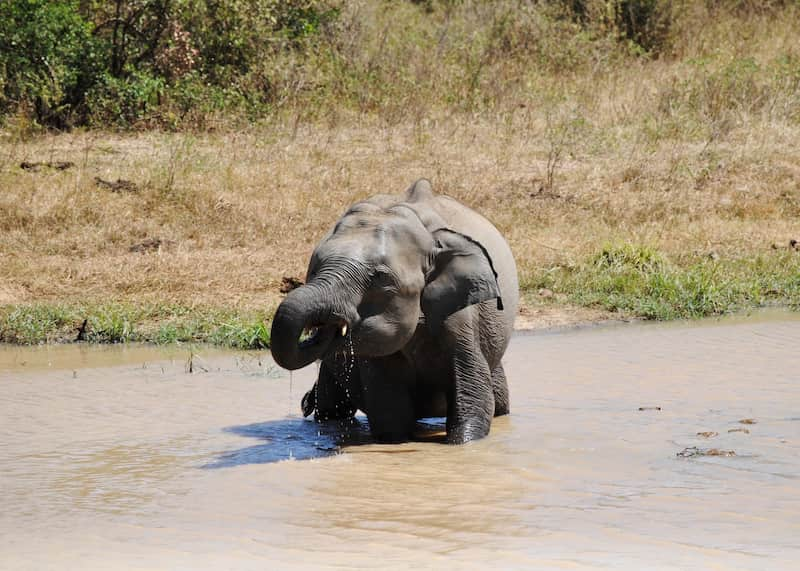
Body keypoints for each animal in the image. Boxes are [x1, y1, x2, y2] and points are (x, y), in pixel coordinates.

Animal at [268, 181, 520, 444]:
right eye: (315, 268)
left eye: (379, 277)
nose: (328, 326)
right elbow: (389, 413)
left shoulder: (460, 312)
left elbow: (473, 395)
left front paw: (463, 444)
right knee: (331, 409)